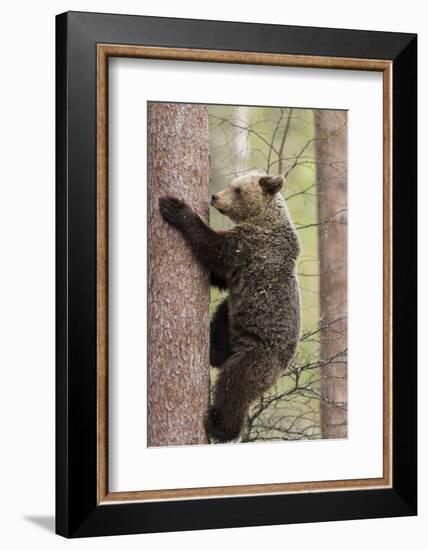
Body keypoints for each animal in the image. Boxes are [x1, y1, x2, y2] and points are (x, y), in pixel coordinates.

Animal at [160, 172, 300, 444]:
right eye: (232, 184)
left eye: (237, 189)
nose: (215, 197)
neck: (263, 217)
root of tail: (282, 368)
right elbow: (219, 276)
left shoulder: (251, 244)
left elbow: (215, 249)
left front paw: (174, 207)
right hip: (236, 323)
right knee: (224, 314)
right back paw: (212, 345)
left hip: (257, 355)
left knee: (234, 386)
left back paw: (220, 426)